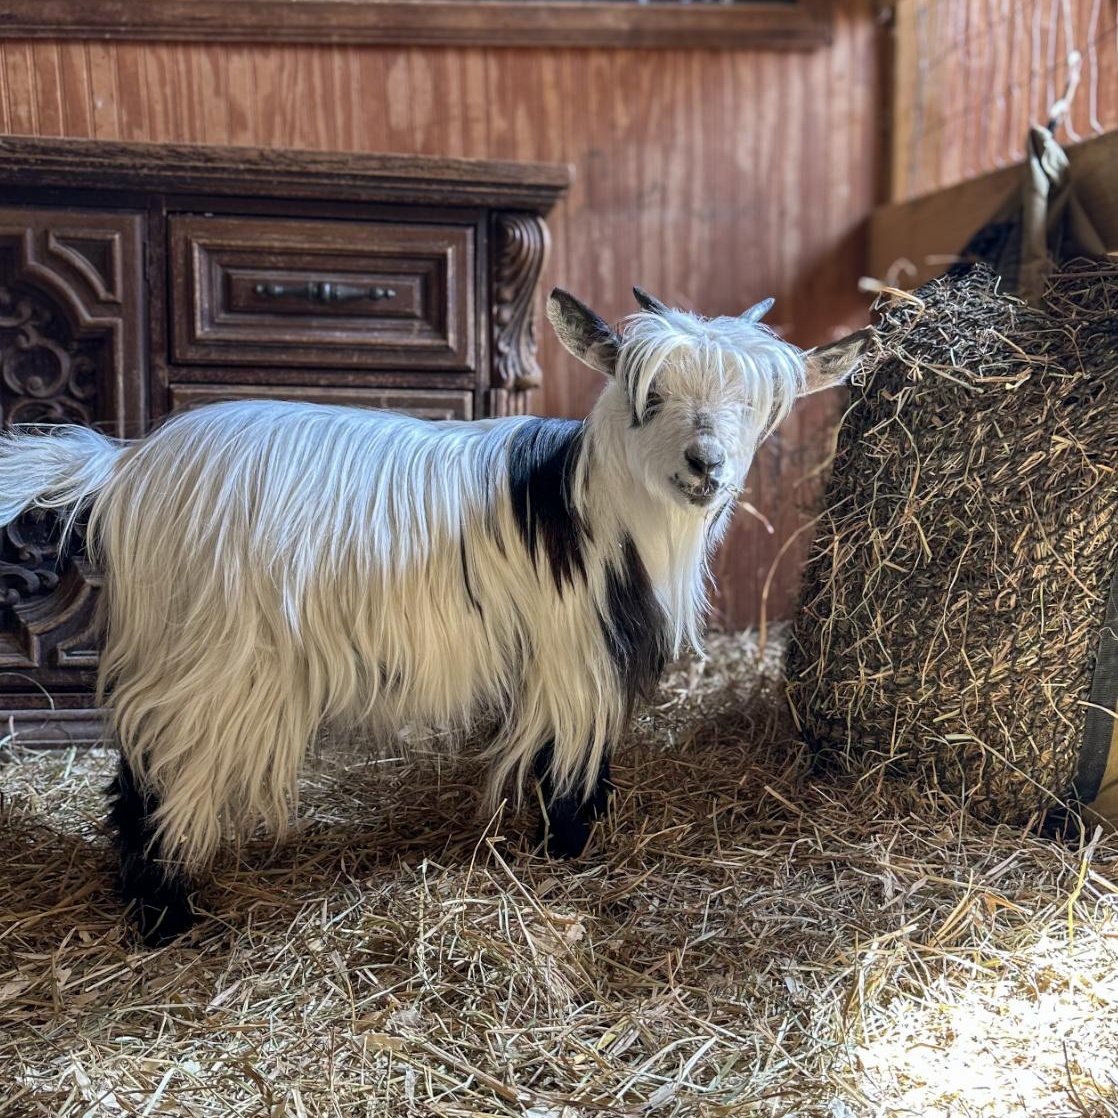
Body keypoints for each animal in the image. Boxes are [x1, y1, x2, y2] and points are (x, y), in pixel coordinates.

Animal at [0, 286, 863, 943]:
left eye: (752, 404)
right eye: (647, 395)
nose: (704, 465)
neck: (606, 505)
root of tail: (124, 467)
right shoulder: (574, 658)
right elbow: (569, 764)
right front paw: (569, 849)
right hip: (207, 659)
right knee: (156, 782)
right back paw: (166, 919)